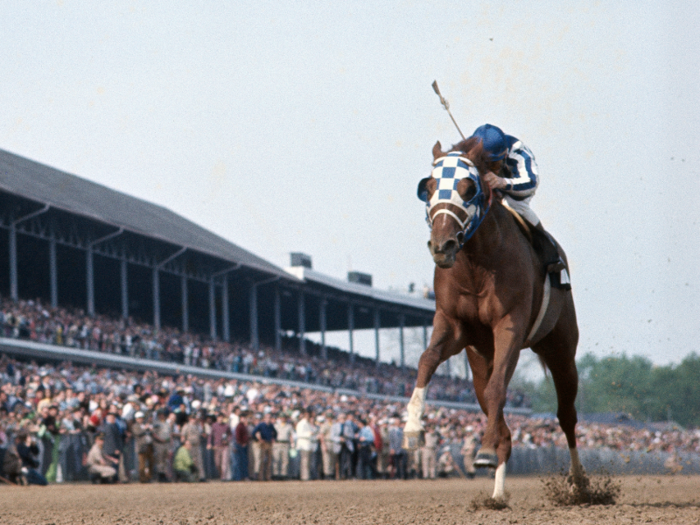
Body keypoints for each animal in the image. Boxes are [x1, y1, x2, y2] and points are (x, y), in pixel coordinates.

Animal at [402, 137, 588, 498]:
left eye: (468, 187)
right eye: (428, 188)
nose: (442, 246)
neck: (478, 265)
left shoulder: (509, 325)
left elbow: (498, 388)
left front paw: (485, 451)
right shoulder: (454, 324)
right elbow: (427, 359)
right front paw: (413, 426)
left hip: (560, 348)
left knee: (566, 415)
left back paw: (579, 484)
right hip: (478, 359)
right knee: (494, 407)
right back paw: (498, 492)